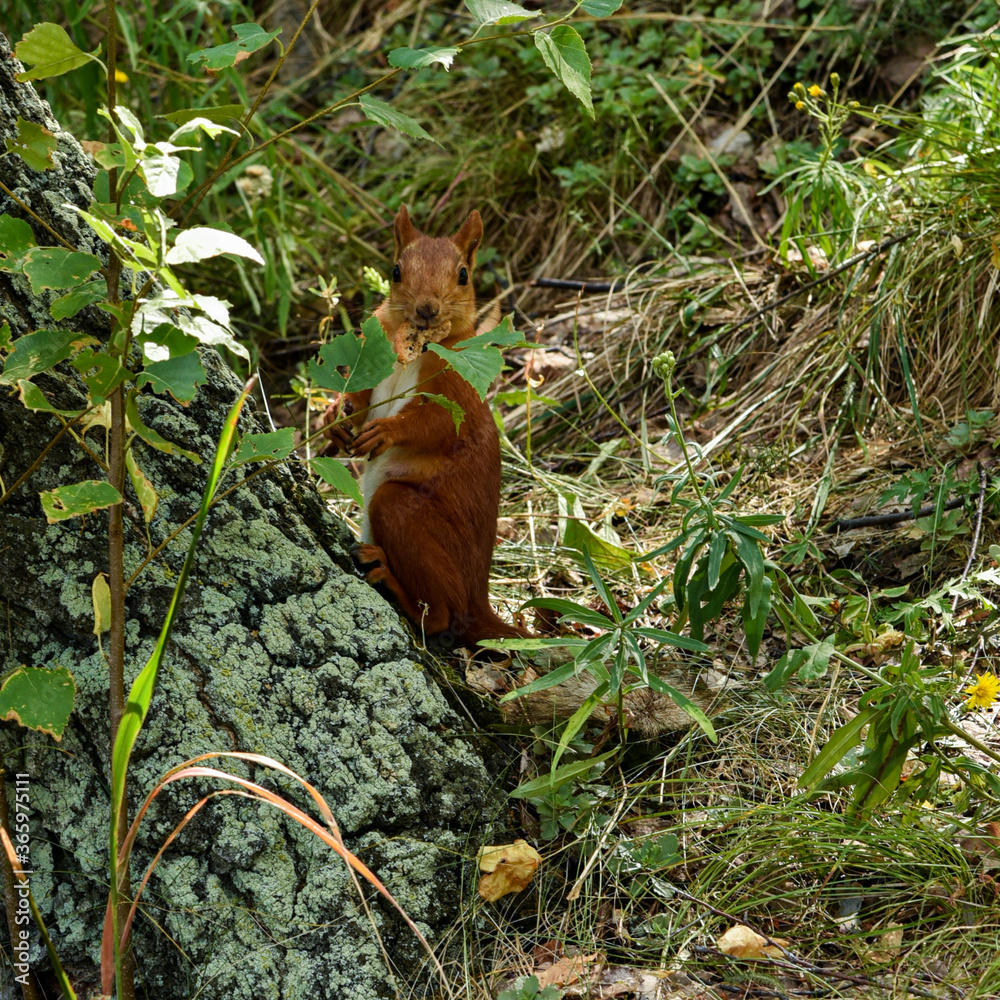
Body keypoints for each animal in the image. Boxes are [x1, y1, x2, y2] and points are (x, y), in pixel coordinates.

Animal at [321, 205, 529, 646]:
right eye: (396, 270)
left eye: (463, 273)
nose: (427, 308)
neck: (416, 346)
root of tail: (479, 601)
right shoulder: (374, 357)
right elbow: (360, 402)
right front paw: (333, 416)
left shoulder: (461, 387)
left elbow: (437, 423)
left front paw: (387, 430)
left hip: (403, 512)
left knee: (443, 619)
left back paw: (391, 581)